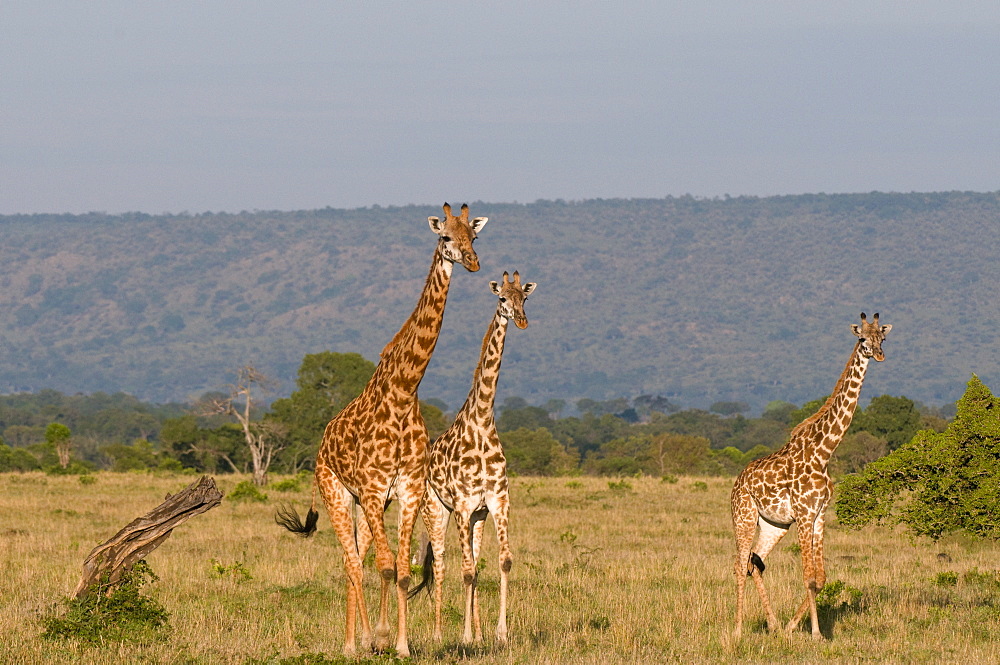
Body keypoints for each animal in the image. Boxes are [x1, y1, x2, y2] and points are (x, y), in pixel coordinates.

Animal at [278, 204, 488, 660]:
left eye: (474, 236)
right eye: (445, 237)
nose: (472, 262)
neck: (405, 390)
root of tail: (323, 442)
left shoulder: (406, 490)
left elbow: (404, 572)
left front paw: (401, 645)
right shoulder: (375, 490)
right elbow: (387, 567)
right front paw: (378, 637)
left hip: (365, 505)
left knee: (357, 560)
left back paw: (357, 639)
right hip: (338, 493)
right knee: (353, 563)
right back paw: (352, 644)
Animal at [408, 268, 536, 644]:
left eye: (525, 297)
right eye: (502, 298)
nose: (521, 320)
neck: (481, 421)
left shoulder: (496, 500)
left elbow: (502, 561)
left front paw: (498, 634)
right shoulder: (462, 504)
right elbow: (464, 571)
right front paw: (464, 636)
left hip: (477, 517)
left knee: (475, 564)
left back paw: (478, 634)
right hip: (435, 510)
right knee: (441, 564)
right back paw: (439, 634)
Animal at [728, 312, 892, 640]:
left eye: (882, 337)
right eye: (862, 339)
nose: (879, 355)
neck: (824, 451)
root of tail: (737, 482)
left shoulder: (819, 515)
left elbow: (821, 577)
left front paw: (795, 627)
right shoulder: (804, 514)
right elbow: (808, 576)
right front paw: (815, 633)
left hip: (774, 525)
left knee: (754, 563)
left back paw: (774, 624)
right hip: (744, 516)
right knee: (740, 565)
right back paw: (738, 629)